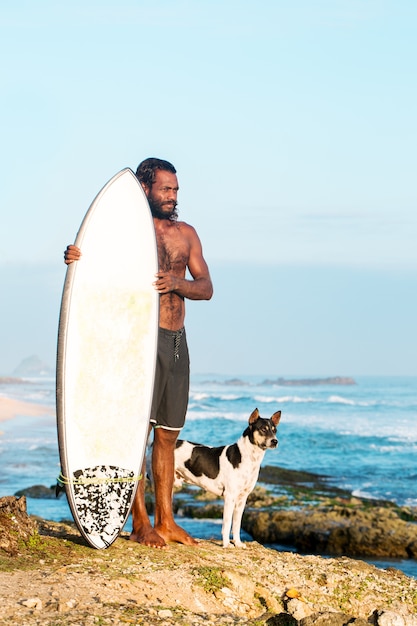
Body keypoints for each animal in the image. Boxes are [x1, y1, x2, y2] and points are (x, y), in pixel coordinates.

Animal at [174, 404, 282, 544]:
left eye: (275, 430)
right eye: (263, 429)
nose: (275, 441)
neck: (249, 458)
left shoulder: (242, 498)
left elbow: (236, 524)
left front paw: (238, 543)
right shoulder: (230, 496)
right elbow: (227, 523)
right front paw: (226, 544)